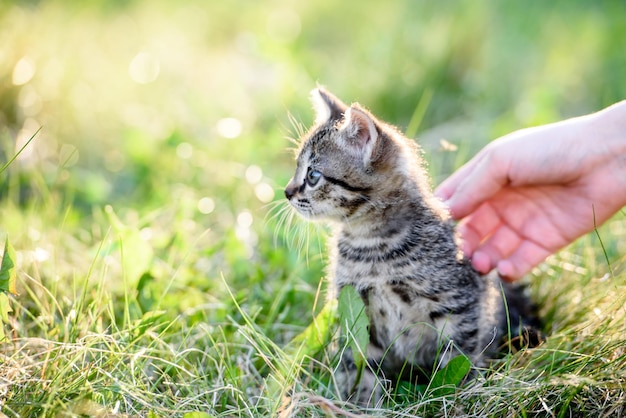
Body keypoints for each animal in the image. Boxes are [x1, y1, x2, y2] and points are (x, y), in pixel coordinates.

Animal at [284, 88, 540, 404]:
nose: (286, 192)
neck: (373, 247)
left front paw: (452, 399)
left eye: (313, 176)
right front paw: (365, 404)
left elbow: (457, 357)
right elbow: (359, 364)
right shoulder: (355, 311)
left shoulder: (458, 302)